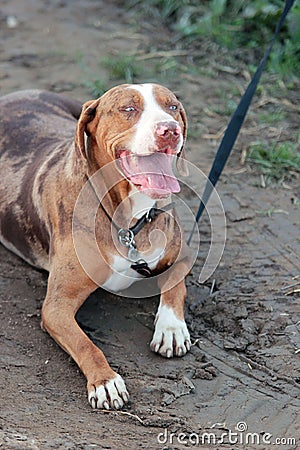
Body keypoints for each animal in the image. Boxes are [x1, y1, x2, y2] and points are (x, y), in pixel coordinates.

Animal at [0, 82, 192, 410]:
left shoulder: (183, 255)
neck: (127, 219)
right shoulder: (56, 307)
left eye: (173, 107)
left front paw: (171, 328)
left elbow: (175, 284)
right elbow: (85, 344)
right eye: (129, 108)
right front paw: (105, 381)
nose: (170, 129)